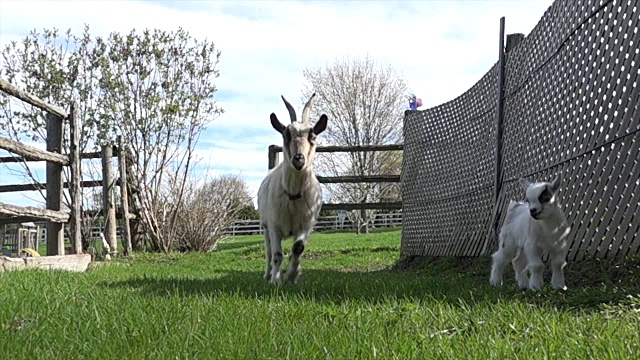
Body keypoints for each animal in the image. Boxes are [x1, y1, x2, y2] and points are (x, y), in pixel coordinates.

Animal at [256, 94, 328, 286]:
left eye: (313, 135)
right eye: (286, 134)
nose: (298, 159)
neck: (293, 195)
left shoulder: (307, 224)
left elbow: (298, 248)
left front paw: (292, 275)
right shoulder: (274, 225)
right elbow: (277, 254)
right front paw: (276, 280)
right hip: (265, 225)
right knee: (268, 251)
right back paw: (267, 275)